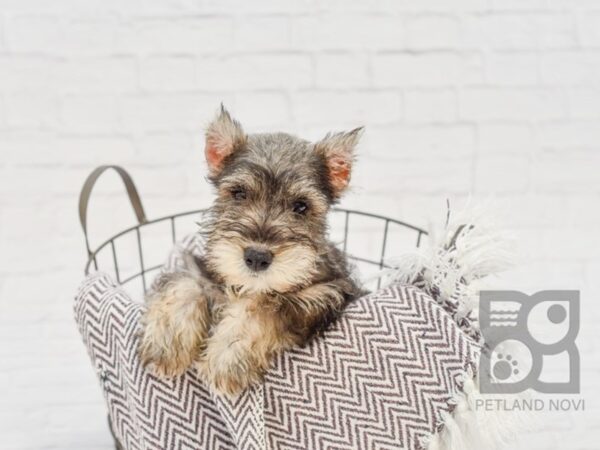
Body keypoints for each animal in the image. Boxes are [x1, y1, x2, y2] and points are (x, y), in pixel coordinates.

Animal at [140, 107, 364, 396]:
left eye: (301, 206)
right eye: (238, 193)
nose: (257, 257)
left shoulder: (326, 295)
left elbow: (265, 305)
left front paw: (226, 356)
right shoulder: (201, 269)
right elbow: (186, 281)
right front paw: (168, 342)